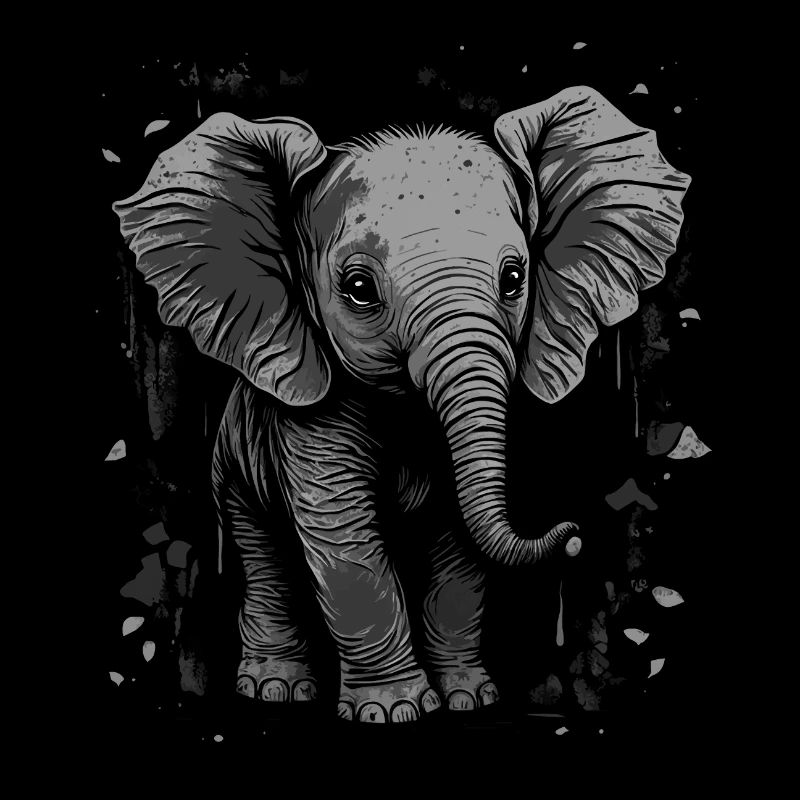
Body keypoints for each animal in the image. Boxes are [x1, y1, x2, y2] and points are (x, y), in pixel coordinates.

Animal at [113, 86, 690, 723]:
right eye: (359, 289)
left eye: (514, 278)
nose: (574, 535)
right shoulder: (311, 421)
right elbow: (347, 545)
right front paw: (394, 711)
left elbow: (458, 545)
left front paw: (470, 699)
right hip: (235, 464)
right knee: (263, 556)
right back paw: (275, 691)